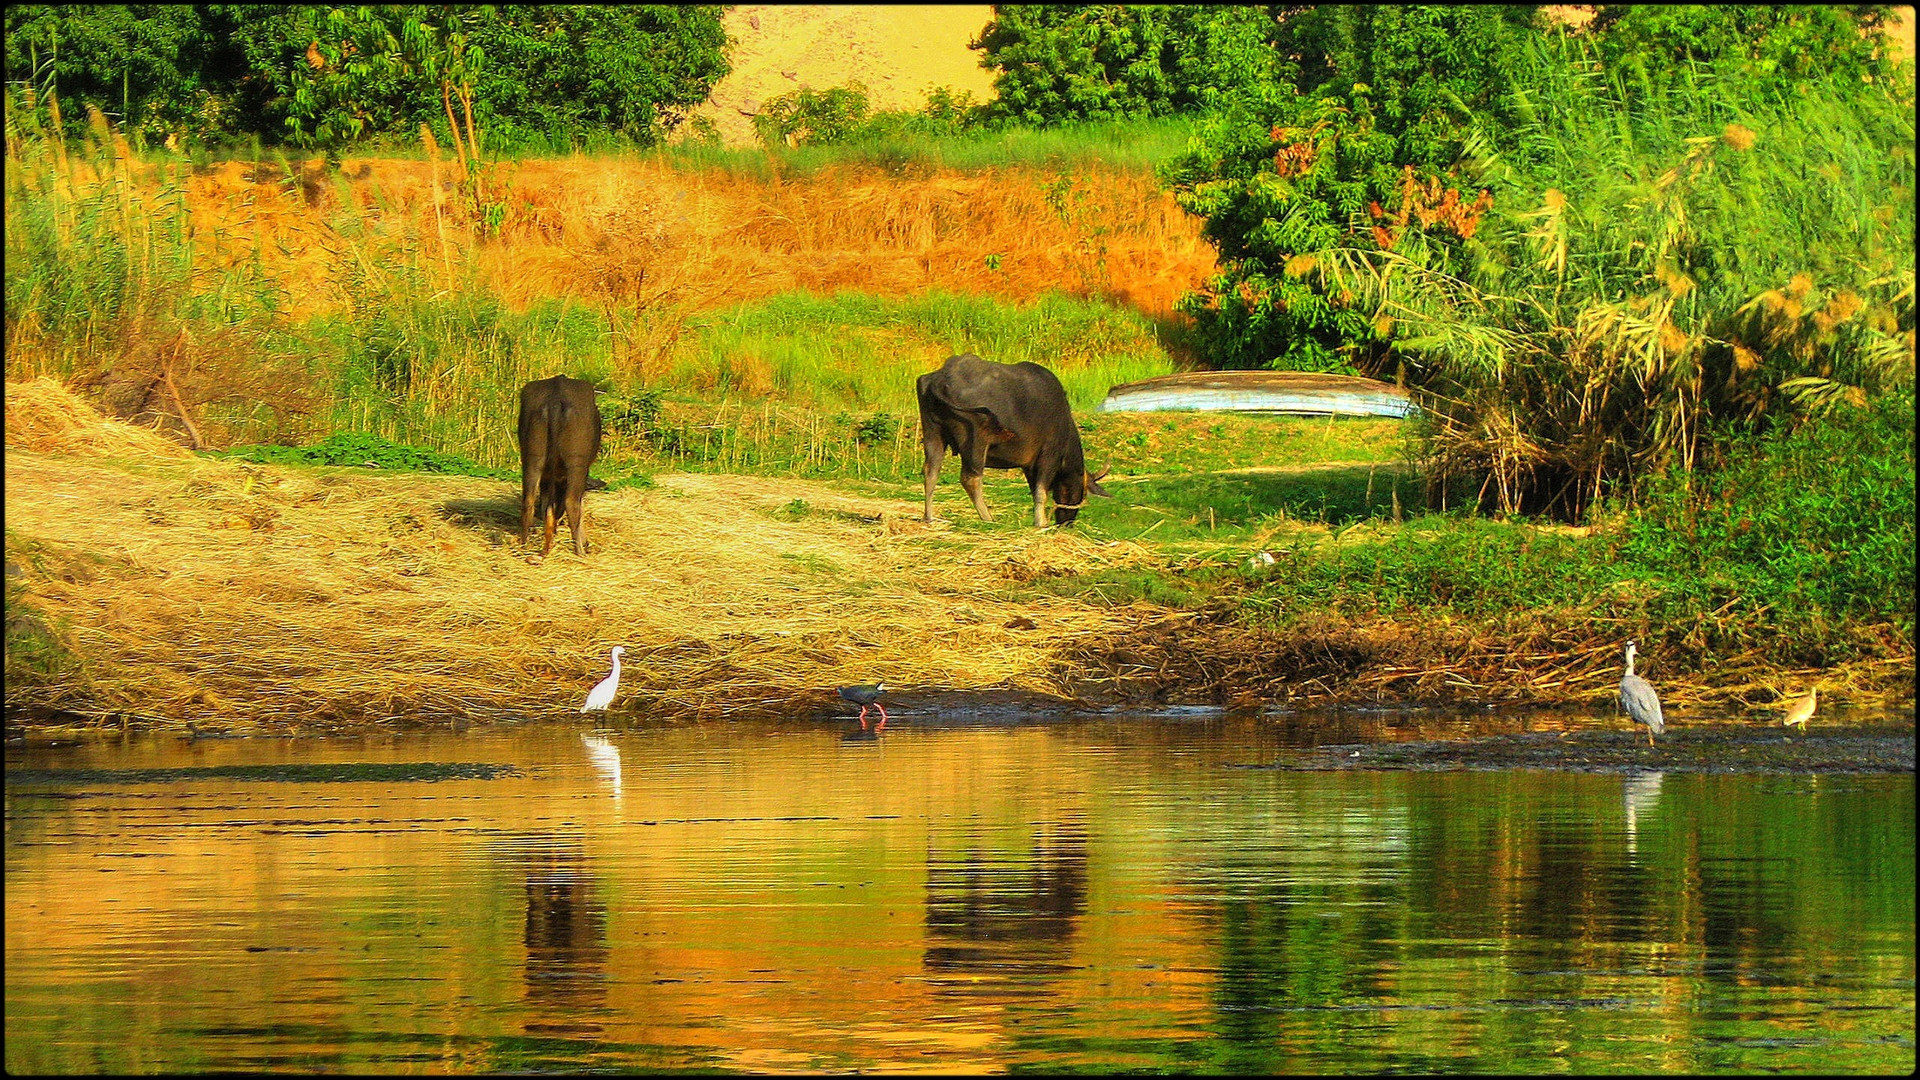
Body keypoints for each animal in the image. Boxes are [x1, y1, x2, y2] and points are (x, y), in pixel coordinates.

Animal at [518, 374, 599, 553]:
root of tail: (555, 401)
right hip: (576, 462)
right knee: (571, 502)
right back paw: (580, 551)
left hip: (532, 458)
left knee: (529, 500)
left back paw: (524, 545)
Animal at [913, 353, 1113, 526]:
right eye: (1081, 491)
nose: (1066, 522)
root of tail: (941, 379)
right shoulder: (1049, 455)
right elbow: (1041, 491)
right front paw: (1041, 522)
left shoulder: (1029, 465)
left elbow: (1034, 490)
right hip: (976, 439)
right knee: (971, 478)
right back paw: (988, 518)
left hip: (932, 432)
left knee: (931, 471)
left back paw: (928, 517)